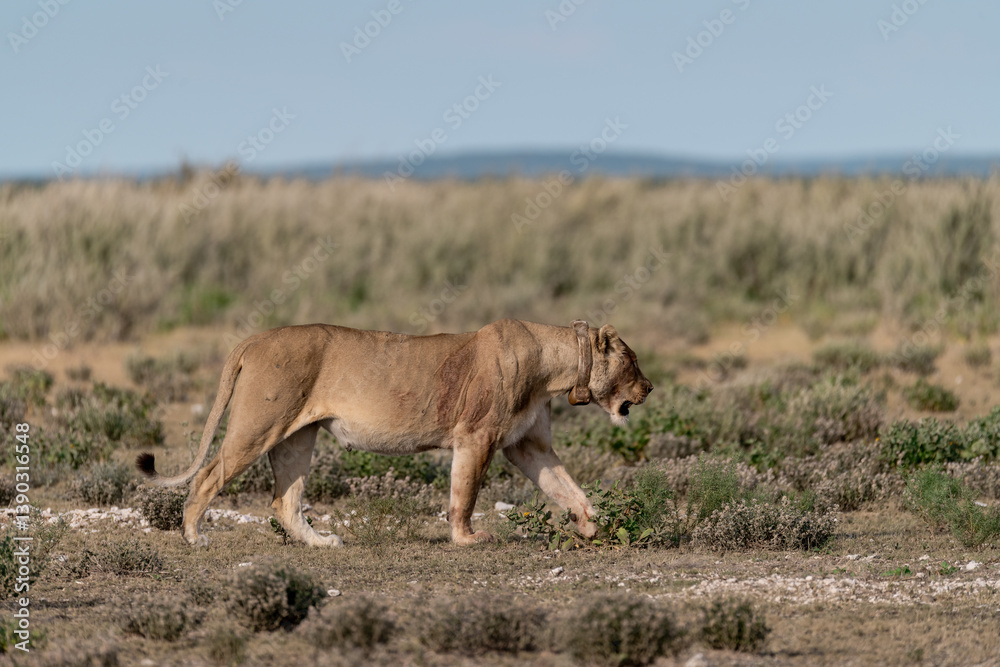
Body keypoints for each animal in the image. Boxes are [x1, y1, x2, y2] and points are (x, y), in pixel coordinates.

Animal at [136, 319, 653, 547]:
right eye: (632, 361)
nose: (649, 387)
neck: (555, 368)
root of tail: (253, 338)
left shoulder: (529, 446)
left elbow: (567, 488)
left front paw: (592, 524)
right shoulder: (477, 436)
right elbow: (464, 493)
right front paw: (467, 539)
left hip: (296, 436)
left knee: (284, 500)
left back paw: (319, 543)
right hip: (257, 426)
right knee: (208, 477)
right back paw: (193, 537)